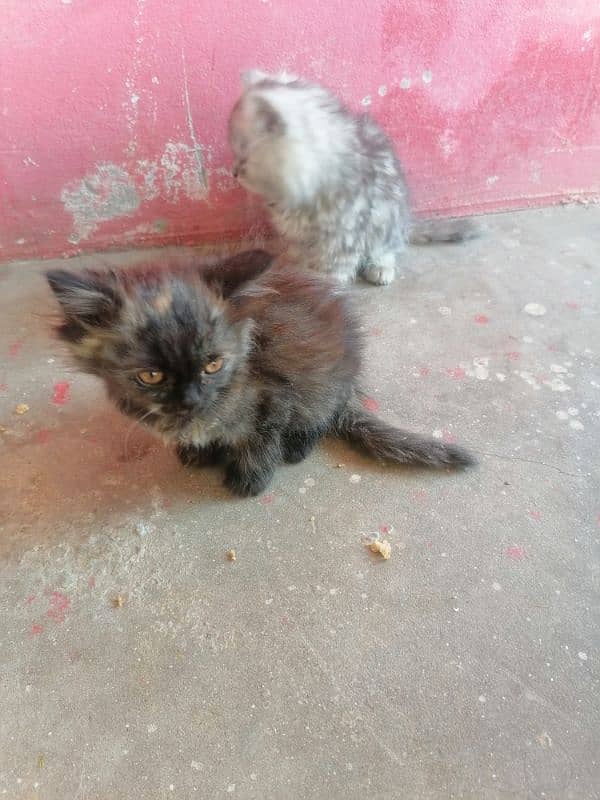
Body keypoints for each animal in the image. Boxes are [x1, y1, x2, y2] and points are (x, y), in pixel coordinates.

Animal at [47, 253, 476, 496]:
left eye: (213, 364)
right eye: (151, 376)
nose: (191, 400)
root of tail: (352, 381)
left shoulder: (275, 398)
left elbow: (260, 440)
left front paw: (250, 479)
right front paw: (198, 451)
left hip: (321, 388)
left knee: (321, 417)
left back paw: (298, 446)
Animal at [227, 70, 476, 286]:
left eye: (243, 158)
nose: (234, 172)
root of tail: (406, 222)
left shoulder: (344, 235)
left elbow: (333, 268)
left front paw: (323, 284)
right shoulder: (296, 235)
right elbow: (296, 253)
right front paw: (291, 268)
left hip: (388, 221)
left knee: (389, 249)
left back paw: (381, 268)